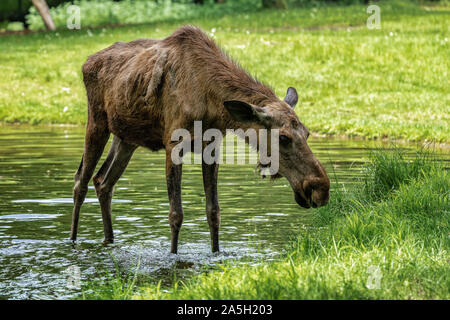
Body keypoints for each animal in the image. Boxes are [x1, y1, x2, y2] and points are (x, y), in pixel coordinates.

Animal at [70, 25, 330, 252]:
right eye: (283, 137)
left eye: (307, 132)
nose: (321, 188)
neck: (213, 106)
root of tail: (85, 63)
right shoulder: (173, 144)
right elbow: (176, 214)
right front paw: (173, 256)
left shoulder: (212, 148)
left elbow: (213, 211)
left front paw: (215, 253)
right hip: (97, 122)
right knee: (80, 181)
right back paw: (72, 242)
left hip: (127, 137)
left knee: (103, 181)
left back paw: (109, 240)